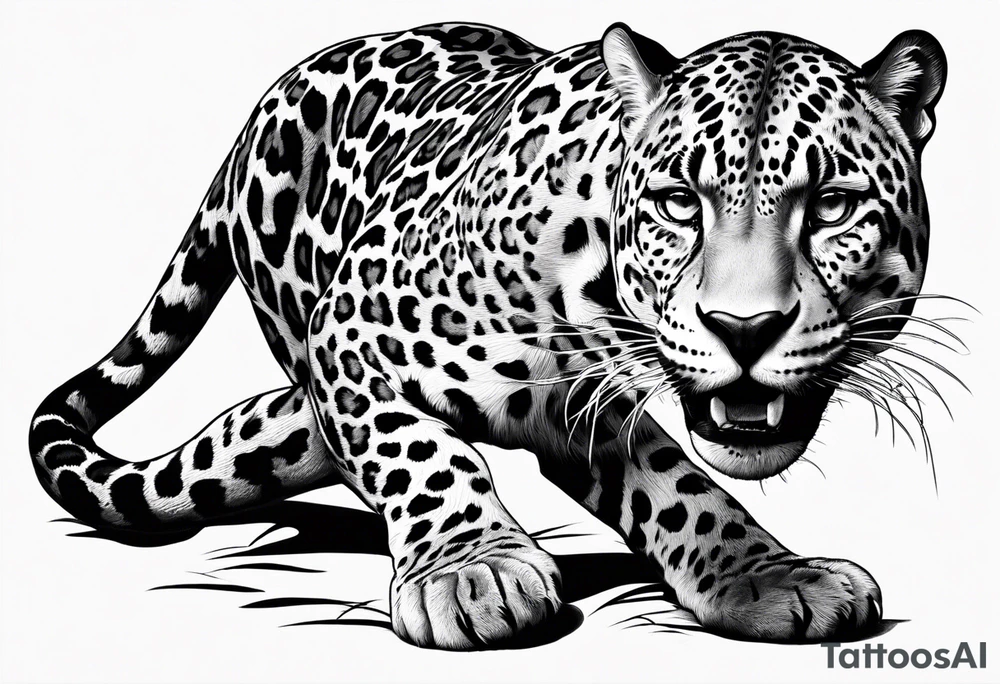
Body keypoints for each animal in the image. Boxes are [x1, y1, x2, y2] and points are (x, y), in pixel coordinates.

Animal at [29, 22, 947, 649]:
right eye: (679, 203)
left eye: (832, 205)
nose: (743, 328)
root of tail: (266, 101)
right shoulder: (351, 328)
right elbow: (419, 451)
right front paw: (472, 570)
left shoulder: (584, 409)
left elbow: (680, 488)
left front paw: (767, 574)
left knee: (264, 426)